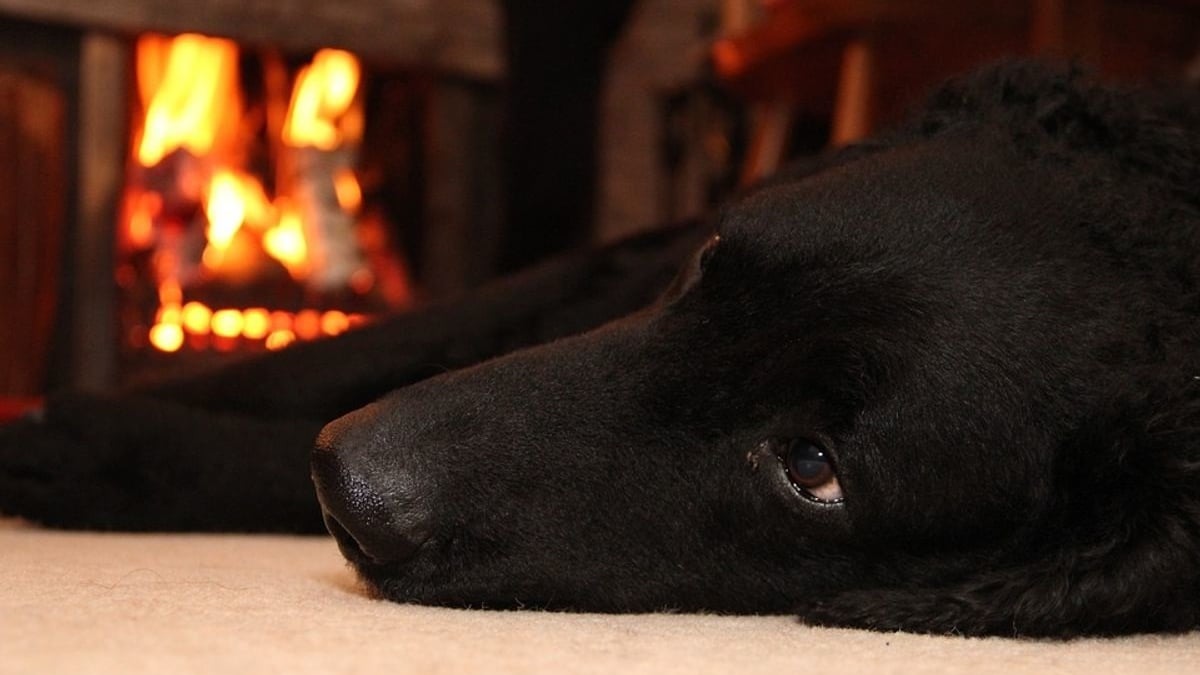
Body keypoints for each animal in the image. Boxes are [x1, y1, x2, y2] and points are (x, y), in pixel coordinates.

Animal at [2, 61, 1200, 634]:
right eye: (708, 267)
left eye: (812, 466)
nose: (350, 483)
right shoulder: (605, 268)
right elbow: (338, 353)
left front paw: (103, 451)